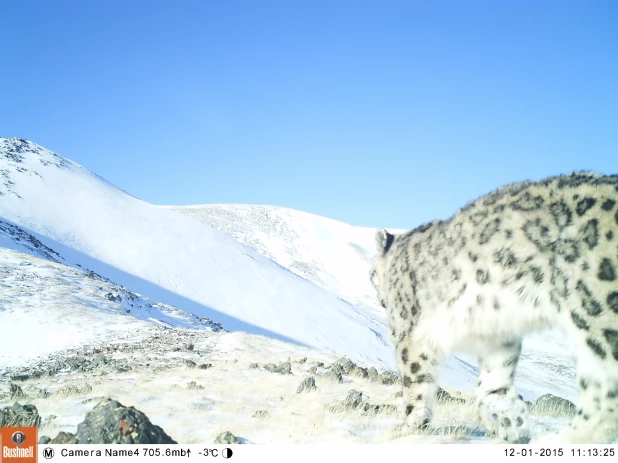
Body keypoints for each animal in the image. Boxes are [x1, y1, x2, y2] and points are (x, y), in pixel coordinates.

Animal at [368, 172, 616, 444]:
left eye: (370, 273)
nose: (377, 295)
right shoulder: (497, 334)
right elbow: (491, 382)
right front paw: (511, 421)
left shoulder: (408, 334)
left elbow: (414, 380)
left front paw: (408, 426)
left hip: (592, 309)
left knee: (603, 387)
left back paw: (563, 438)